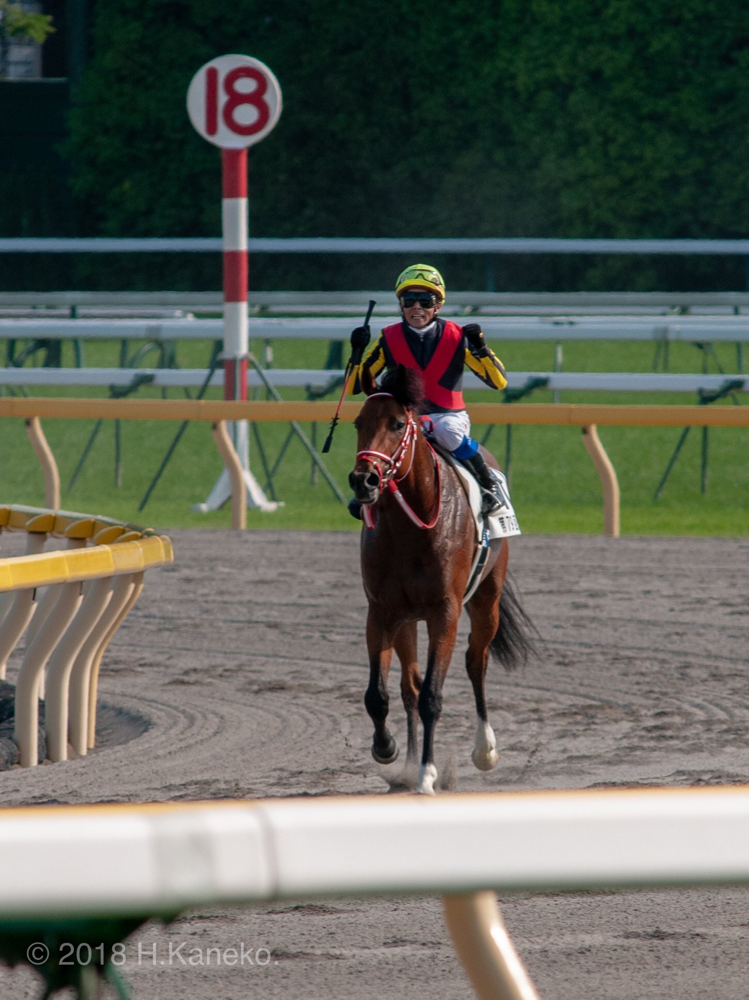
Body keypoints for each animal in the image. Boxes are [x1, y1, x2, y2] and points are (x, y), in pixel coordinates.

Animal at [348, 364, 536, 792]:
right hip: (407, 620)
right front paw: (388, 750)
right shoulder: (382, 612)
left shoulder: (444, 612)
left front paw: (427, 775)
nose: (363, 481)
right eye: (358, 423)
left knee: (476, 661)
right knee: (409, 685)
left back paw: (485, 750)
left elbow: (433, 696)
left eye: (397, 423)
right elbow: (379, 695)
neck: (409, 530)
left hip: (486, 601)